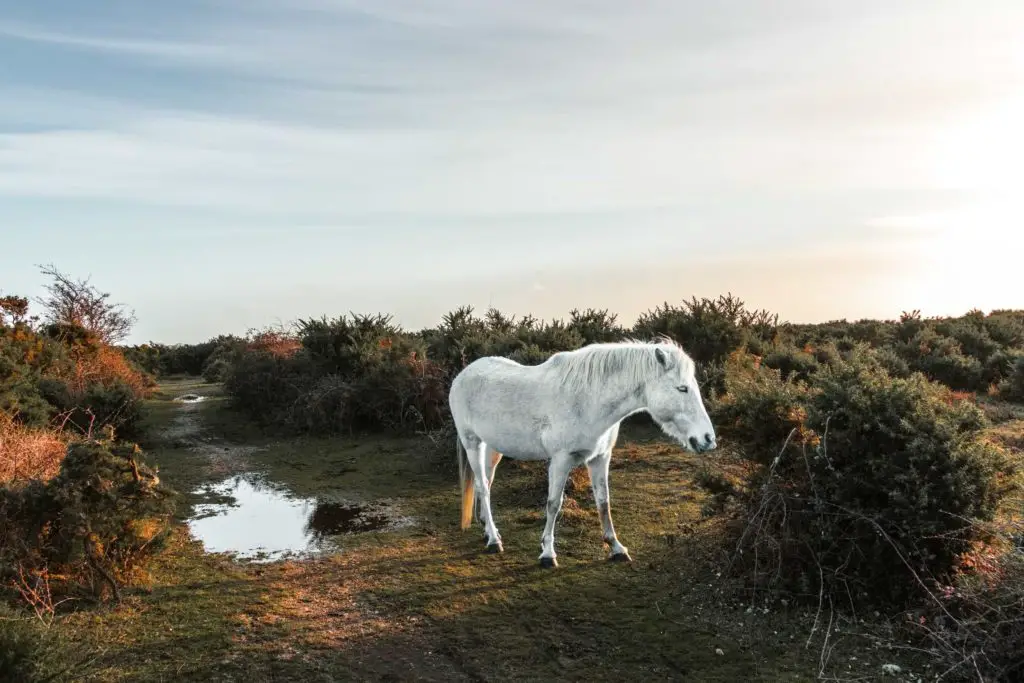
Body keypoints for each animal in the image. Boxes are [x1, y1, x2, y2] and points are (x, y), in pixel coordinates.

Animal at [448, 335, 720, 565]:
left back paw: (487, 529)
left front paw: (616, 548)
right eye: (682, 388)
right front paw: (547, 553)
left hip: (493, 448)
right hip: (472, 443)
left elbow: (603, 502)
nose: (708, 439)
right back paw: (494, 540)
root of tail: (463, 375)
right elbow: (553, 504)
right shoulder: (560, 461)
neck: (588, 400)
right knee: (483, 486)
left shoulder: (600, 458)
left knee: (486, 483)